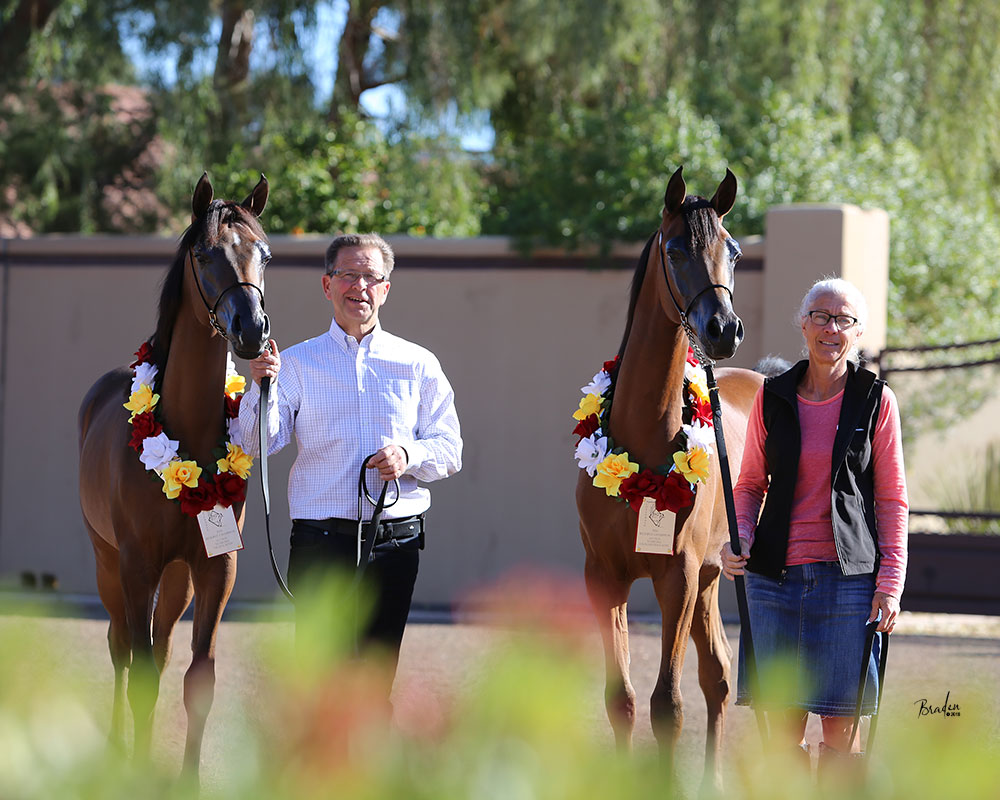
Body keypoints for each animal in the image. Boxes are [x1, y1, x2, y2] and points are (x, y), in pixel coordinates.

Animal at [77, 173, 270, 776]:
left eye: (264, 253)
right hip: (107, 561)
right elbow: (138, 671)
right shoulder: (137, 565)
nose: (251, 330)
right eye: (205, 254)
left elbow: (197, 679)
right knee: (121, 646)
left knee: (158, 652)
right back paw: (117, 746)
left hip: (179, 576)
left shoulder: (216, 568)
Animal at [576, 167, 763, 787]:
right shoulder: (604, 578)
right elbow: (623, 701)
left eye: (733, 249)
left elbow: (668, 707)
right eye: (676, 248)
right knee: (719, 677)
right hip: (711, 577)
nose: (724, 328)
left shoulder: (675, 579)